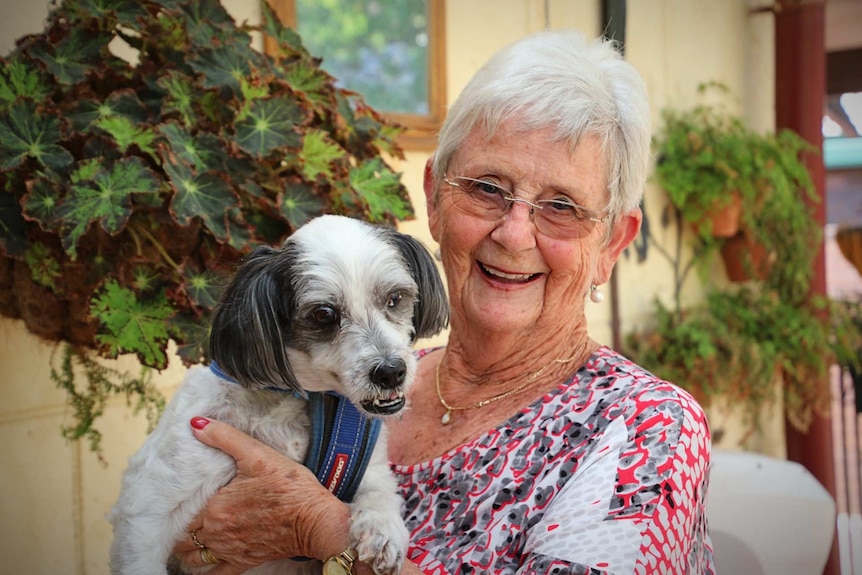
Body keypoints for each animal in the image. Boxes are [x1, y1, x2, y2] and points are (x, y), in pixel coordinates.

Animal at [108, 216, 452, 575]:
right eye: (324, 314)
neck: (306, 400)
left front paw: (383, 531)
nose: (390, 371)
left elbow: (381, 495)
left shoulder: (368, 471)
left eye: (395, 297)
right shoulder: (147, 510)